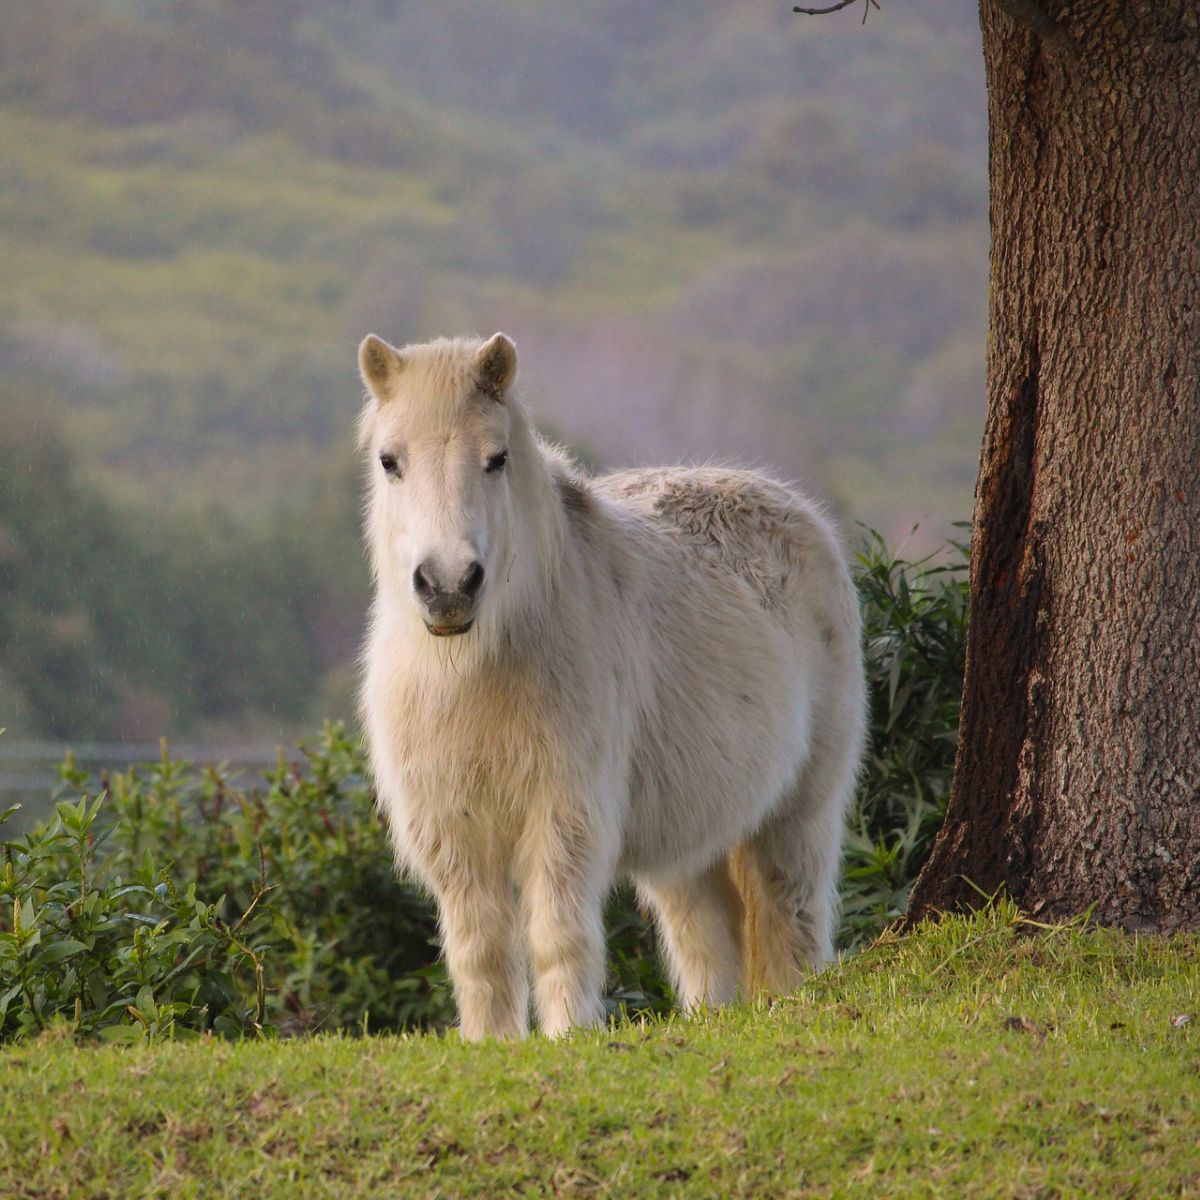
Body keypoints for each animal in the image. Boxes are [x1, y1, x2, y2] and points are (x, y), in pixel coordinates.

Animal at [352, 333, 864, 1036]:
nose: (449, 587)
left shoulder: (563, 814)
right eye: (389, 461)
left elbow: (557, 935)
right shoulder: (452, 831)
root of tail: (795, 509)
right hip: (690, 844)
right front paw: (491, 1043)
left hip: (797, 814)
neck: (477, 670)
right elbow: (480, 951)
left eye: (496, 459)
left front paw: (570, 1034)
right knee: (706, 940)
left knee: (794, 919)